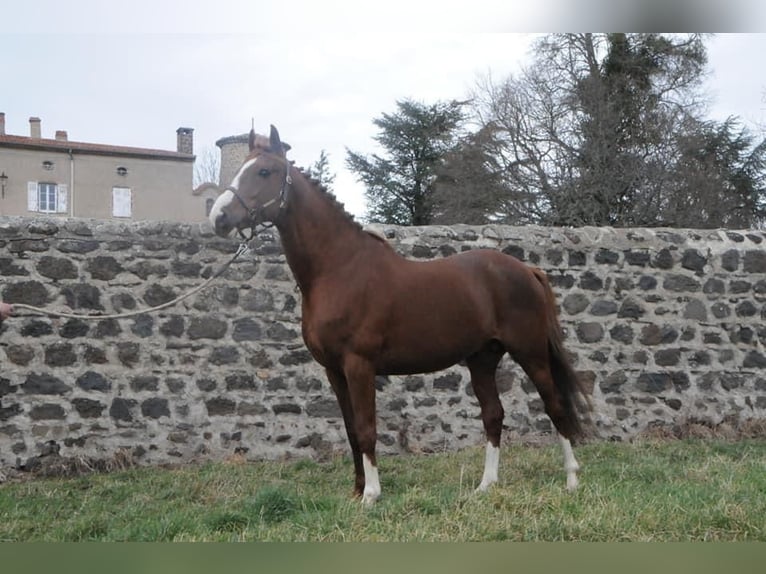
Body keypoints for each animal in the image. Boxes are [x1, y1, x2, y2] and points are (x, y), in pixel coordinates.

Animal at [207, 125, 592, 504]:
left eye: (264, 171)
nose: (219, 217)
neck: (339, 269)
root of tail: (527, 269)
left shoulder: (359, 365)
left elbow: (366, 428)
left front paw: (371, 496)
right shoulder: (334, 371)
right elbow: (351, 429)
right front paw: (357, 491)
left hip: (531, 353)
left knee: (555, 405)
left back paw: (572, 480)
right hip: (483, 359)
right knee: (493, 415)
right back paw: (485, 486)